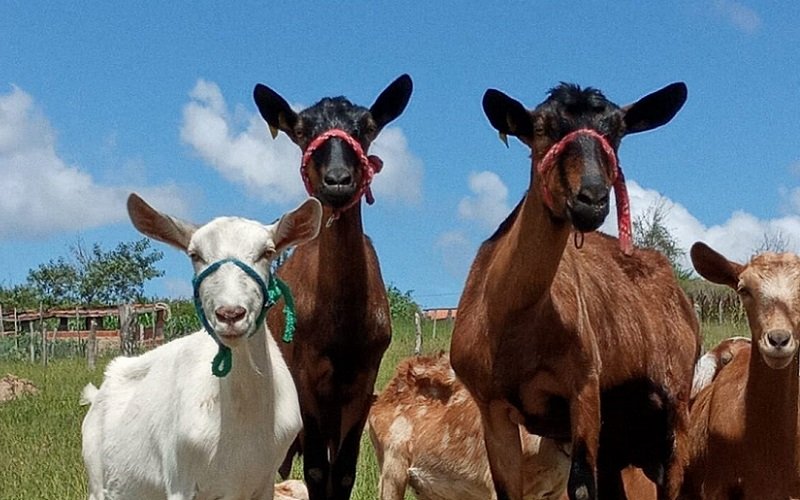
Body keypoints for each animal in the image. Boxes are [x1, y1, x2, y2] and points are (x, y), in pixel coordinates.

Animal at [79, 192, 320, 500]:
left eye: (267, 252)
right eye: (195, 255)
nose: (230, 314)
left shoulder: (264, 481)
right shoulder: (181, 480)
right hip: (98, 482)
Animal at [252, 75, 412, 500]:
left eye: (367, 127)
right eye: (302, 131)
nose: (338, 180)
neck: (341, 325)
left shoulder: (362, 381)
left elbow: (342, 472)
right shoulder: (305, 378)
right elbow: (316, 471)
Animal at [450, 82, 700, 500]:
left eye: (617, 132)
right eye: (542, 129)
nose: (592, 199)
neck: (514, 321)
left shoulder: (584, 387)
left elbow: (581, 487)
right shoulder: (492, 409)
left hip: (673, 406)